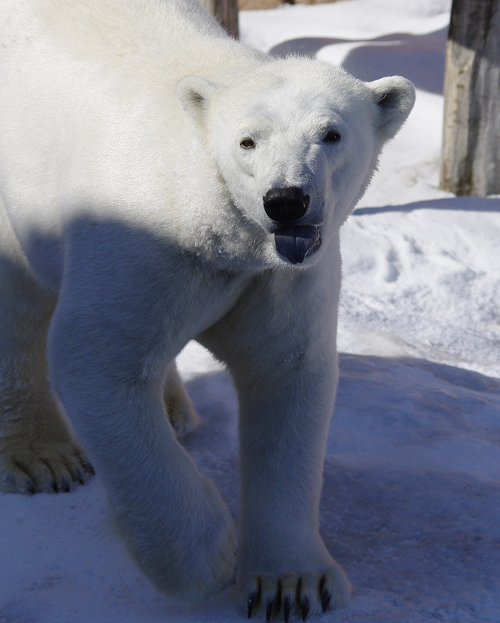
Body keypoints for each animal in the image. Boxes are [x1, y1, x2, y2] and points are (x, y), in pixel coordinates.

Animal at [0, 0, 414, 620]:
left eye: (332, 133)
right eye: (247, 142)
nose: (286, 200)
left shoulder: (278, 278)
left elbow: (286, 378)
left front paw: (291, 585)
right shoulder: (142, 238)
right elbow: (97, 363)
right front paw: (210, 557)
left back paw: (173, 411)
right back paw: (43, 458)